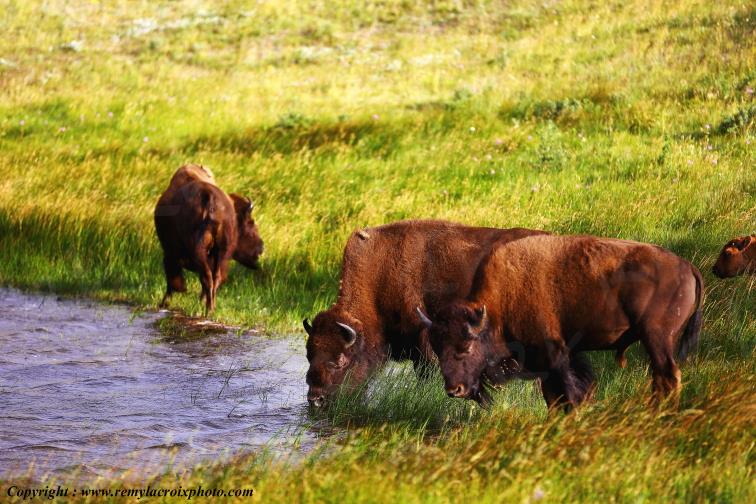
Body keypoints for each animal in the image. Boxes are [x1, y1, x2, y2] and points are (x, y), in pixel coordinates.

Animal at [154, 164, 263, 313]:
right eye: (250, 223)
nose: (261, 247)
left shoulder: (170, 253)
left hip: (197, 252)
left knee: (206, 278)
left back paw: (205, 307)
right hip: (219, 254)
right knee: (214, 279)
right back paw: (210, 308)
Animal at [418, 234, 704, 410]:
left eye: (466, 347)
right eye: (438, 349)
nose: (454, 389)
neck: (499, 304)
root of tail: (687, 266)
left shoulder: (553, 356)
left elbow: (569, 394)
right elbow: (554, 397)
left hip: (656, 337)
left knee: (668, 376)